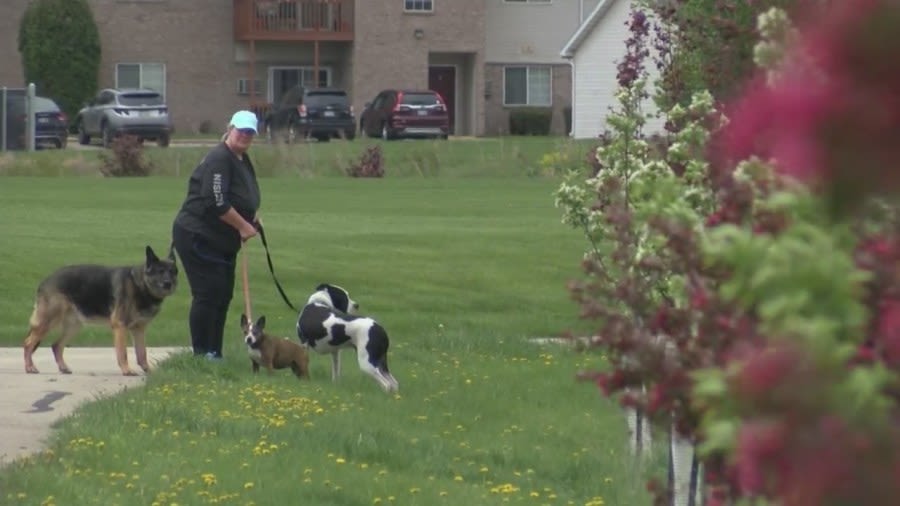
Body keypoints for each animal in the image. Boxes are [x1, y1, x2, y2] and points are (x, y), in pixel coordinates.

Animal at [22, 245, 178, 376]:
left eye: (172, 272)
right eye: (160, 272)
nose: (168, 284)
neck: (141, 285)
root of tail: (46, 280)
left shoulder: (139, 329)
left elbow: (142, 353)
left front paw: (149, 371)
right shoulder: (120, 326)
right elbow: (123, 352)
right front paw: (127, 370)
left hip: (74, 326)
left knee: (56, 345)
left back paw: (63, 367)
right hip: (48, 322)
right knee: (28, 343)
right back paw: (30, 367)